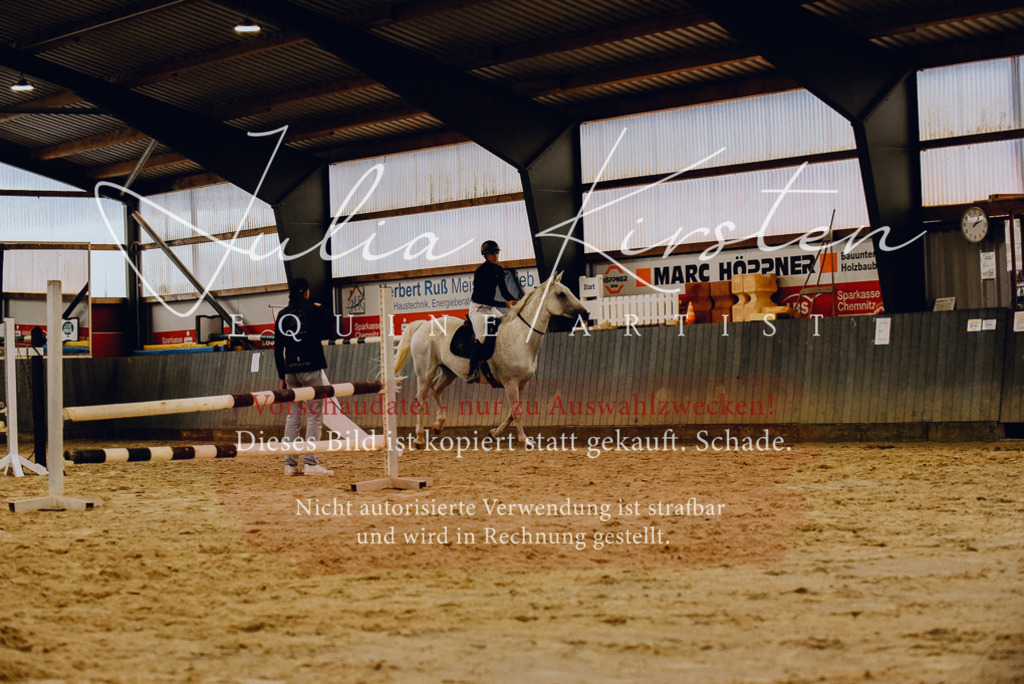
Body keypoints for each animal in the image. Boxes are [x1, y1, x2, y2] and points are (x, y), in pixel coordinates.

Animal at [393, 272, 588, 448]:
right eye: (561, 294)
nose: (585, 313)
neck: (520, 335)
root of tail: (423, 325)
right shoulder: (510, 382)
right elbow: (517, 412)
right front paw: (525, 440)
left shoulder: (522, 383)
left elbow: (511, 412)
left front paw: (494, 433)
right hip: (425, 372)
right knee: (420, 398)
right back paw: (419, 439)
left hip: (449, 372)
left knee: (435, 391)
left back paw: (438, 426)